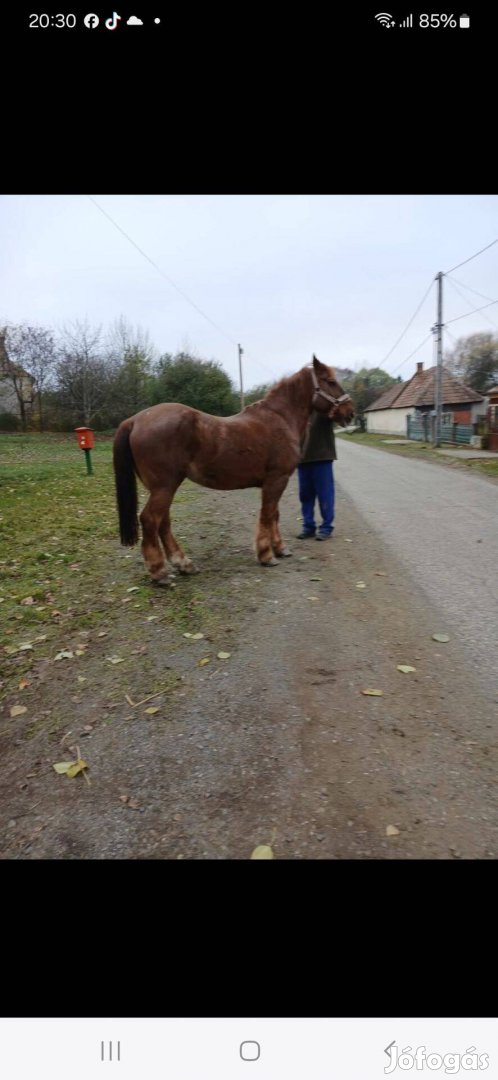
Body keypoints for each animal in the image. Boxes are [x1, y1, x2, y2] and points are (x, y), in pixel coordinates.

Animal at [112, 354, 354, 578]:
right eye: (330, 381)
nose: (350, 413)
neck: (280, 419)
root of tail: (135, 420)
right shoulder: (277, 479)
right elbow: (267, 514)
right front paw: (267, 556)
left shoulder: (276, 481)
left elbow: (274, 514)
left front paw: (280, 549)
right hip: (165, 486)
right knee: (150, 520)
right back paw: (159, 571)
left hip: (162, 487)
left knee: (163, 522)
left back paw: (183, 564)